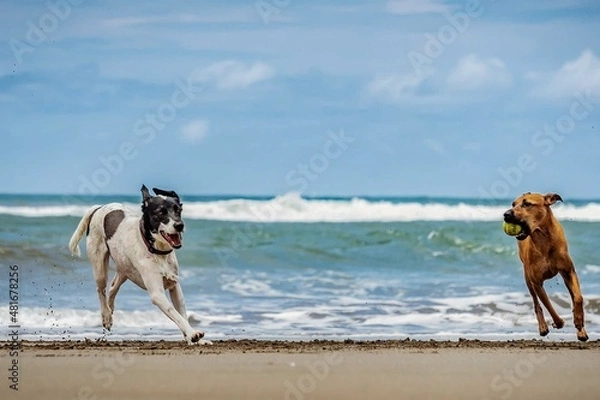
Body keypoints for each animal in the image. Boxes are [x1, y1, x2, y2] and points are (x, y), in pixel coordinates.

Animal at [69, 184, 206, 344]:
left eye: (178, 210)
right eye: (161, 212)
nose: (179, 225)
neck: (158, 251)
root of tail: (99, 207)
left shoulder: (174, 285)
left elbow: (182, 313)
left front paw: (193, 339)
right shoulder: (157, 294)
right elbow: (175, 314)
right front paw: (192, 334)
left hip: (125, 268)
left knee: (113, 286)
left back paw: (111, 307)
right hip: (99, 265)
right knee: (101, 289)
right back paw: (106, 316)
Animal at [504, 193, 588, 340]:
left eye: (527, 204)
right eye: (513, 204)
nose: (506, 214)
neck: (544, 240)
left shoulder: (569, 272)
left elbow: (578, 297)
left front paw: (578, 321)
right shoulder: (536, 282)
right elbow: (548, 305)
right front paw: (558, 323)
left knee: (573, 296)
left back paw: (581, 330)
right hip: (527, 277)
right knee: (536, 303)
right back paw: (543, 327)